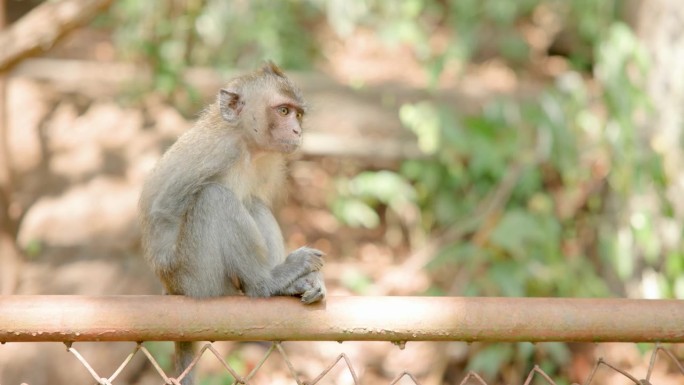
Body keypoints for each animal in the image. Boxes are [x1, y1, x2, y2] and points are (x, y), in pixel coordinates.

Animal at [138, 61, 326, 382]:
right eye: (283, 111)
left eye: (298, 114)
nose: (297, 130)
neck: (247, 147)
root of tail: (173, 289)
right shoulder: (217, 151)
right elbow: (163, 210)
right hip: (198, 280)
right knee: (214, 198)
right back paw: (265, 284)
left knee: (253, 204)